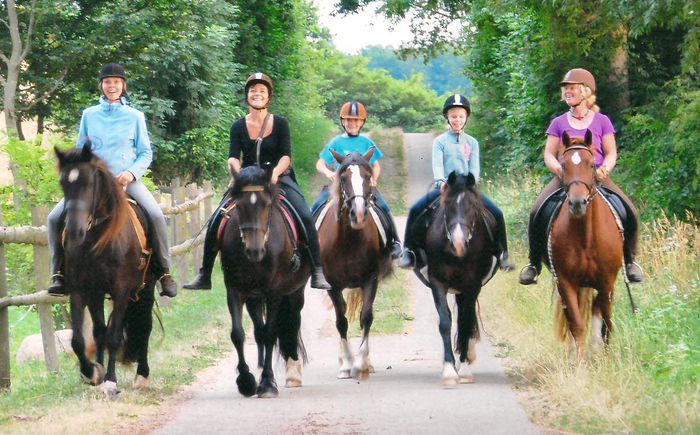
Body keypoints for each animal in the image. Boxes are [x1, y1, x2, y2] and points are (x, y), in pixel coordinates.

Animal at [56, 145, 157, 396]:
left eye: (90, 183)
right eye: (63, 183)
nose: (75, 231)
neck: (97, 238)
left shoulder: (121, 290)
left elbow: (113, 336)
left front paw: (110, 381)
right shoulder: (83, 290)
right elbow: (82, 339)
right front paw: (92, 373)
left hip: (146, 287)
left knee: (145, 326)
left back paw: (142, 375)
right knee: (100, 331)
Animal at [221, 164, 308, 398]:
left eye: (267, 205)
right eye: (239, 206)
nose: (255, 250)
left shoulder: (274, 292)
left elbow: (271, 333)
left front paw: (268, 383)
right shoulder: (234, 289)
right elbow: (238, 334)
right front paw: (246, 381)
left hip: (295, 292)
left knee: (292, 323)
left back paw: (293, 372)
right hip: (253, 297)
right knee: (259, 330)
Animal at [318, 148, 394, 380]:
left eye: (368, 176)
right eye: (343, 178)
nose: (358, 214)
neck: (348, 240)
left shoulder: (371, 279)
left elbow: (366, 316)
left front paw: (361, 363)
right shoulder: (332, 285)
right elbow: (341, 321)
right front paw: (345, 365)